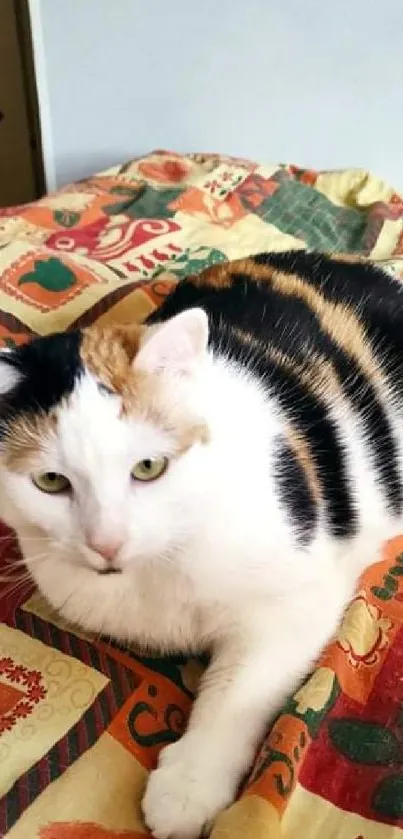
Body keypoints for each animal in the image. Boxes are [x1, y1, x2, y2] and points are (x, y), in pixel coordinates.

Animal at [0, 251, 403, 839]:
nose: (107, 543)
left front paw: (190, 784)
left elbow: (237, 689)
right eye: (50, 481)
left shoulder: (297, 603)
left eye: (149, 467)